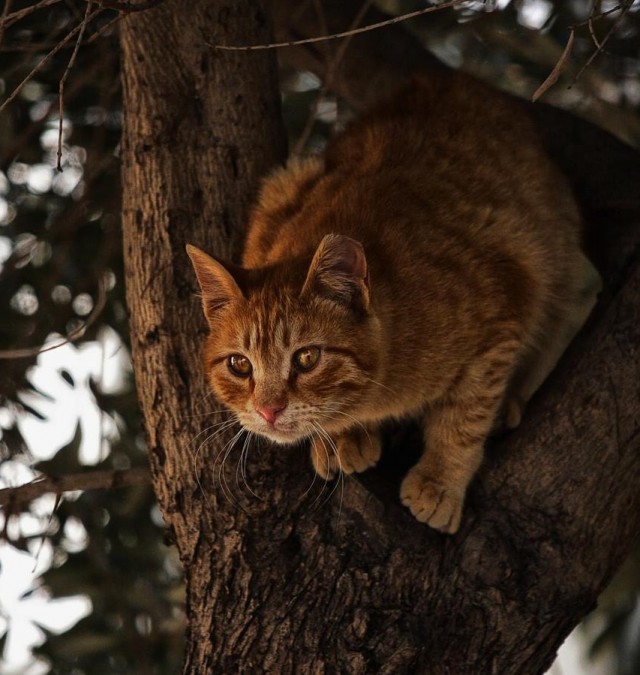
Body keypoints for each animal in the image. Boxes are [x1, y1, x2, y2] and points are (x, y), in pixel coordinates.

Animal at [185, 72, 600, 532]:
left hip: (551, 251)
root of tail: (462, 79)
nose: (268, 411)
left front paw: (439, 481)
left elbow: (464, 417)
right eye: (240, 365)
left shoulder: (505, 305)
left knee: (583, 289)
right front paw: (344, 438)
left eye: (307, 358)